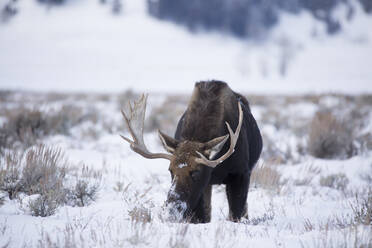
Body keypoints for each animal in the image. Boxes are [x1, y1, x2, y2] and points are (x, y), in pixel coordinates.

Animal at [121, 81, 262, 223]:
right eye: (170, 170)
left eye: (196, 171)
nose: (171, 209)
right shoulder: (202, 189)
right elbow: (200, 217)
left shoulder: (241, 173)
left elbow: (236, 213)